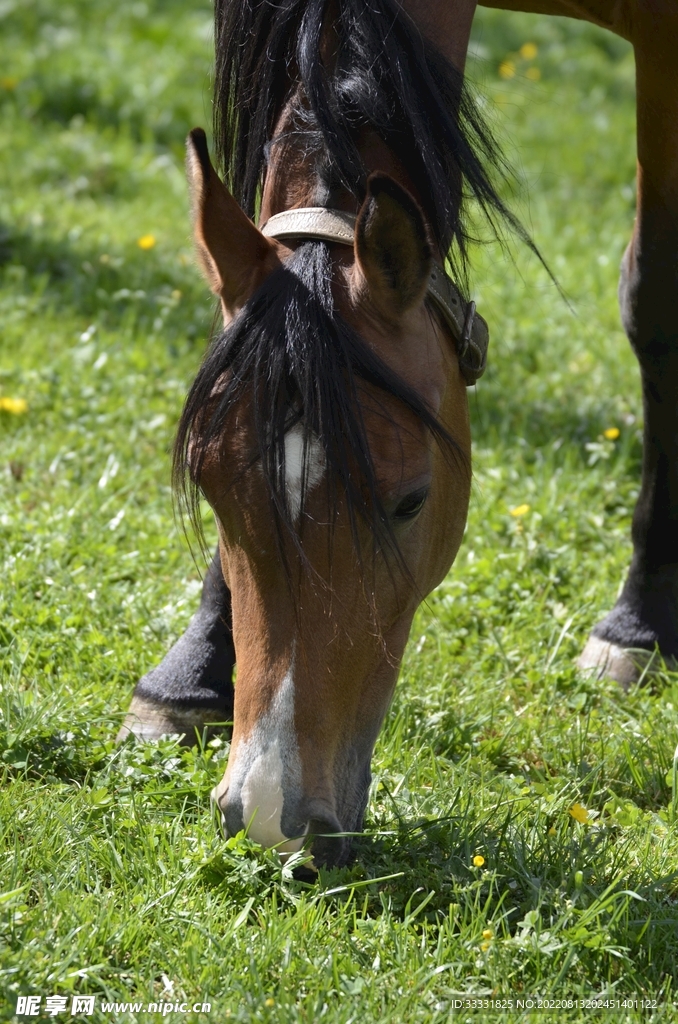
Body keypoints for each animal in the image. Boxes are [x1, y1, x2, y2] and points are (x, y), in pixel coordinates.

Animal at [118, 0, 678, 868]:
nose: (274, 812)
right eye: (210, 490)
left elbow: (655, 295)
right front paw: (190, 674)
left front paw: (639, 623)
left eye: (410, 501)